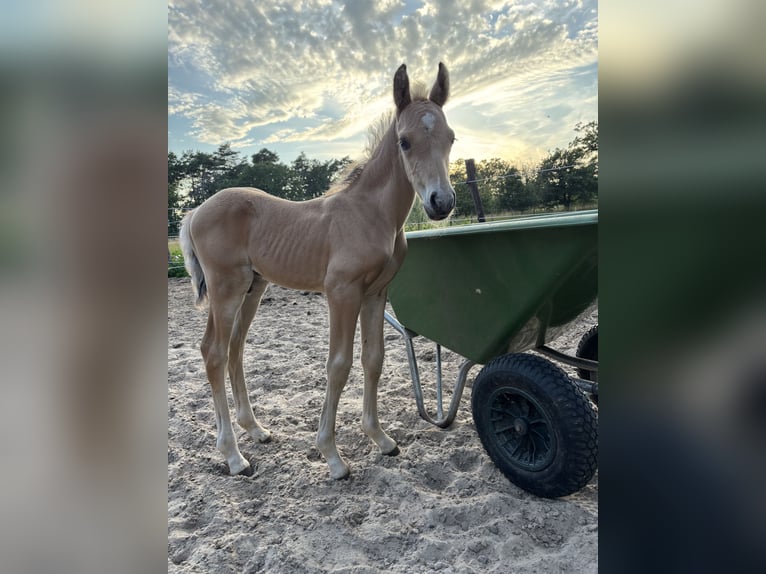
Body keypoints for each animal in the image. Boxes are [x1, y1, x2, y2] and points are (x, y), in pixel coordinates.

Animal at [179, 63, 456, 480]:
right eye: (404, 141)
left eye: (450, 138)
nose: (441, 202)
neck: (370, 214)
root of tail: (196, 210)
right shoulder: (342, 292)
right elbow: (338, 365)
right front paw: (332, 456)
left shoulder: (376, 293)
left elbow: (373, 360)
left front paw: (381, 439)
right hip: (226, 287)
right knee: (213, 351)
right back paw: (233, 455)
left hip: (253, 288)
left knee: (235, 348)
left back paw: (255, 429)